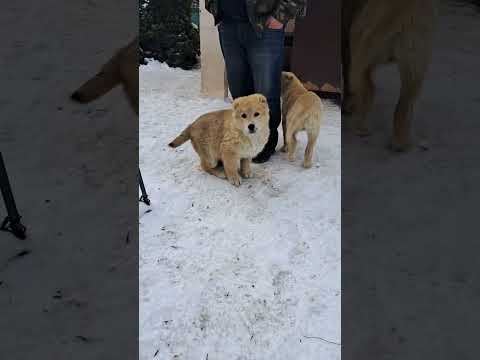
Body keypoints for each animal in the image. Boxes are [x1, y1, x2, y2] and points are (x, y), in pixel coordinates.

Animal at [342, 0, 436, 150]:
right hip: (415, 65)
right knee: (404, 104)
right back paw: (400, 143)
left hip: (364, 51)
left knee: (368, 90)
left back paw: (360, 127)